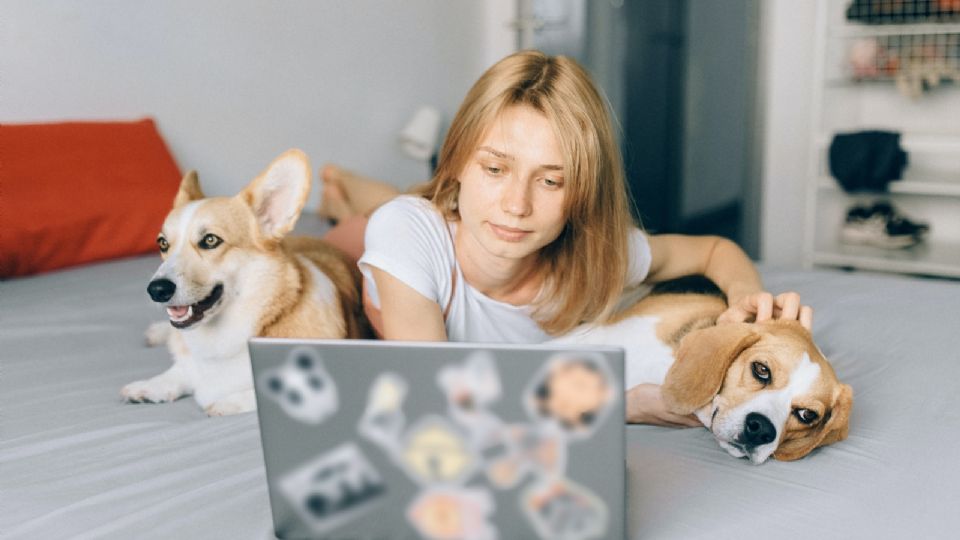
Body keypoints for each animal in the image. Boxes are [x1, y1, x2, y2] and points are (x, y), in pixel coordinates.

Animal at [123, 150, 368, 416]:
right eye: (162, 243)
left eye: (210, 240)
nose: (156, 290)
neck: (223, 340)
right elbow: (178, 372)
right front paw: (148, 386)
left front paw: (225, 403)